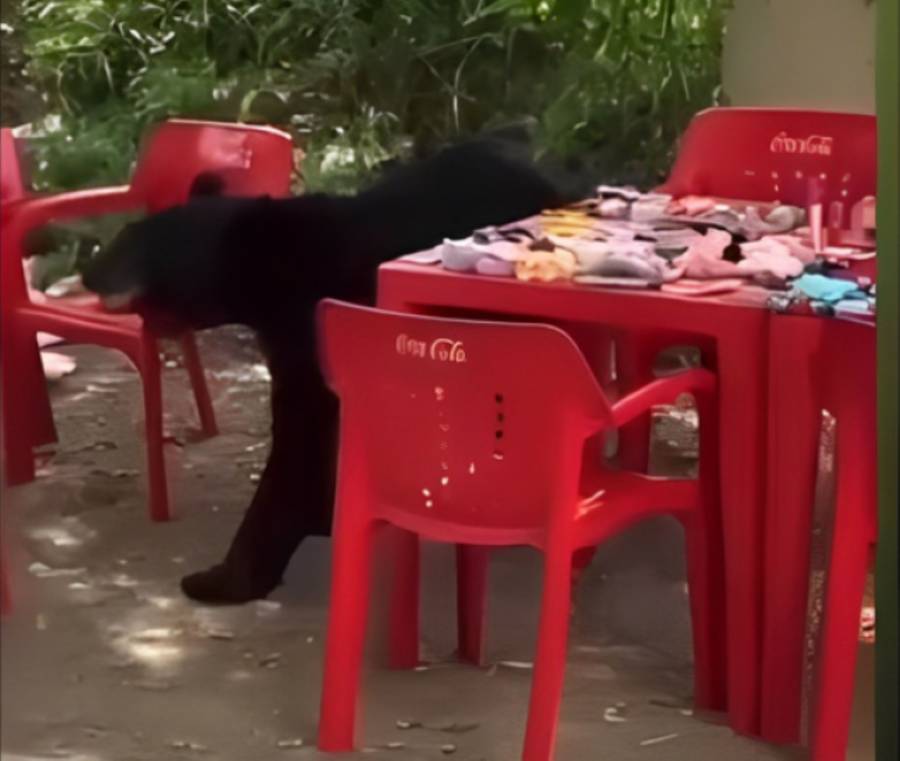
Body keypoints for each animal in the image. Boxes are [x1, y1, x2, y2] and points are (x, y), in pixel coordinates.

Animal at [82, 134, 592, 604]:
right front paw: (322, 514)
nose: (88, 271)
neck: (268, 279)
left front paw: (223, 577)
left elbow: (297, 439)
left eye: (134, 242)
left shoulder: (310, 326)